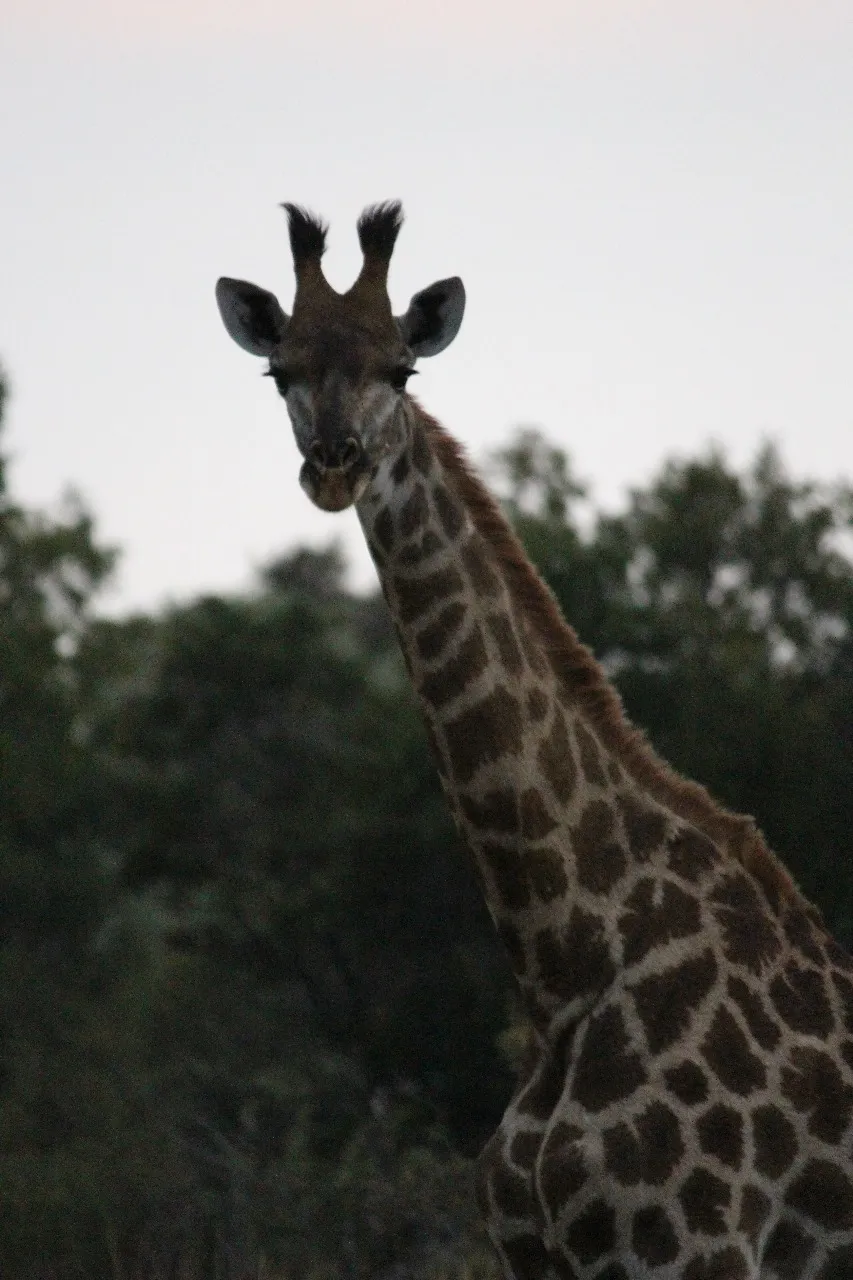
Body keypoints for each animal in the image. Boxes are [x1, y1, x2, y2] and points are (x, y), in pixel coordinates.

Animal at [215, 202, 853, 1279]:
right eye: (280, 371)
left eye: (401, 369)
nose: (337, 462)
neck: (565, 962)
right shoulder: (534, 1255)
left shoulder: (698, 1249)